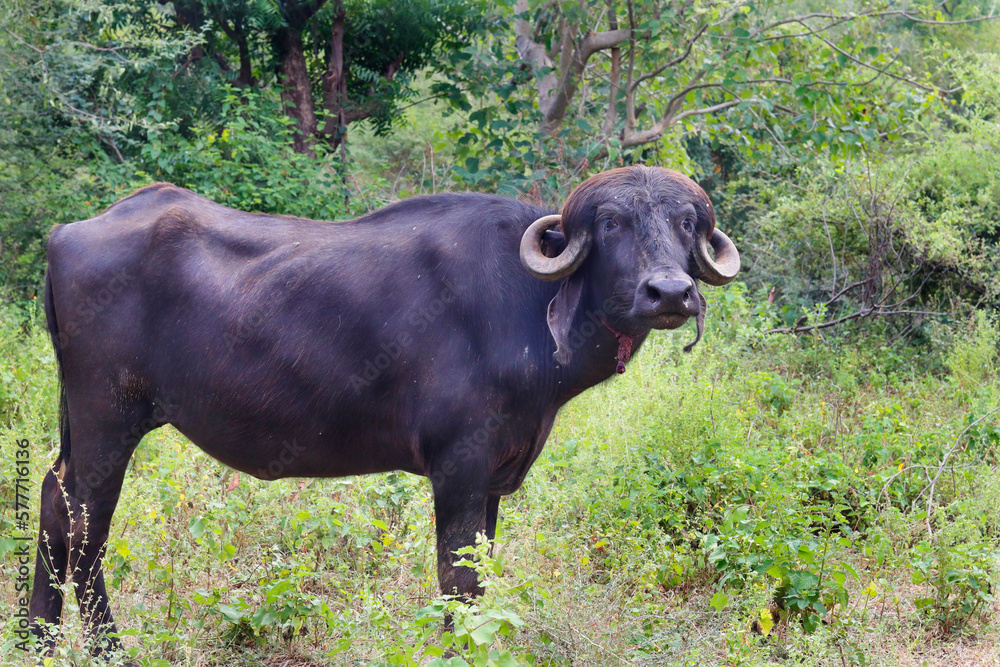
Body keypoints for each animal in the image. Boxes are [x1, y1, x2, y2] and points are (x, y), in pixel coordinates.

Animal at [30, 165, 739, 650]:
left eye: (685, 223)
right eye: (613, 223)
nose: (669, 292)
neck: (529, 308)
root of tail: (68, 232)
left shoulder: (493, 480)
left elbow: (482, 574)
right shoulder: (458, 468)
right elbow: (458, 580)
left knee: (53, 503)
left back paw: (38, 637)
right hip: (106, 420)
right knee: (85, 524)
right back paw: (107, 648)